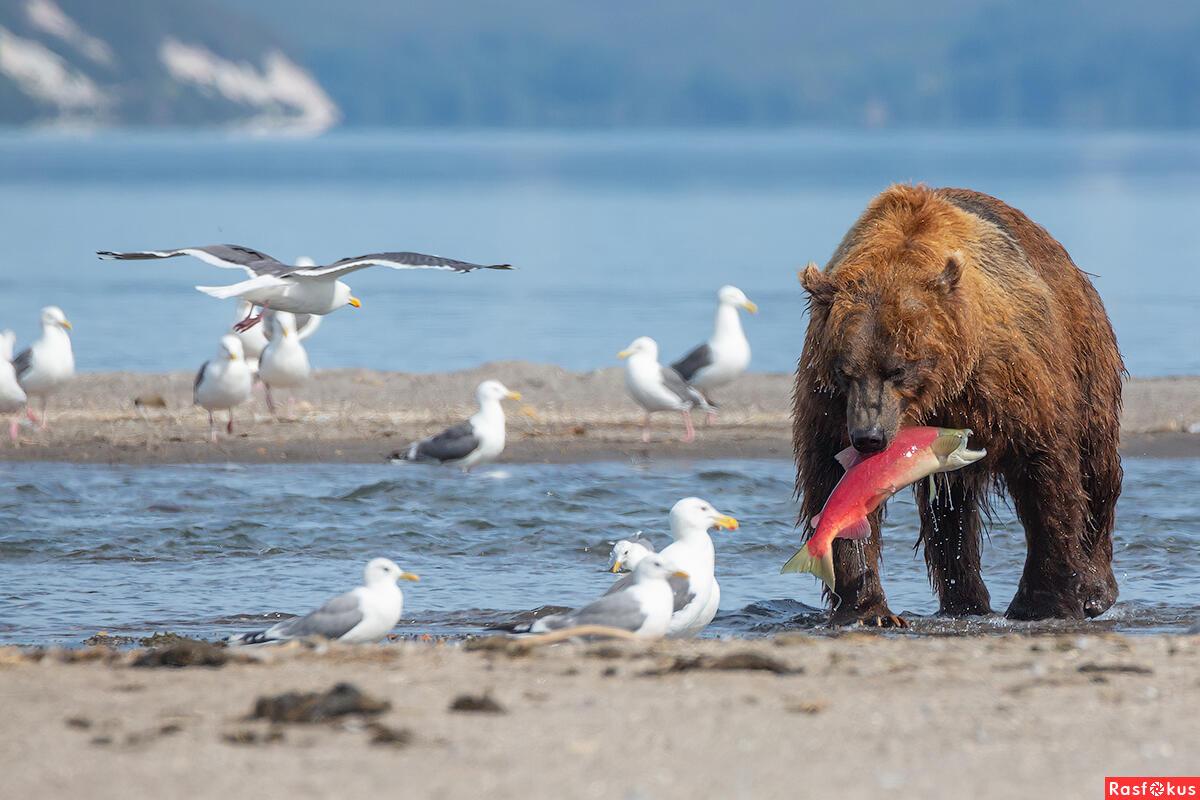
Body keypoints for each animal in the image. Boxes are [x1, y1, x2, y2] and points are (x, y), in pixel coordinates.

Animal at [796, 185, 1123, 623]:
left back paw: (1096, 589)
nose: (869, 437)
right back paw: (965, 602)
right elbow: (833, 482)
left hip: (1087, 351)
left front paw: (1044, 602)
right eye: (846, 371)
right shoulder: (828, 403)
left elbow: (1047, 474)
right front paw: (868, 608)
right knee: (949, 513)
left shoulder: (1011, 380)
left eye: (897, 368)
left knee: (1097, 464)